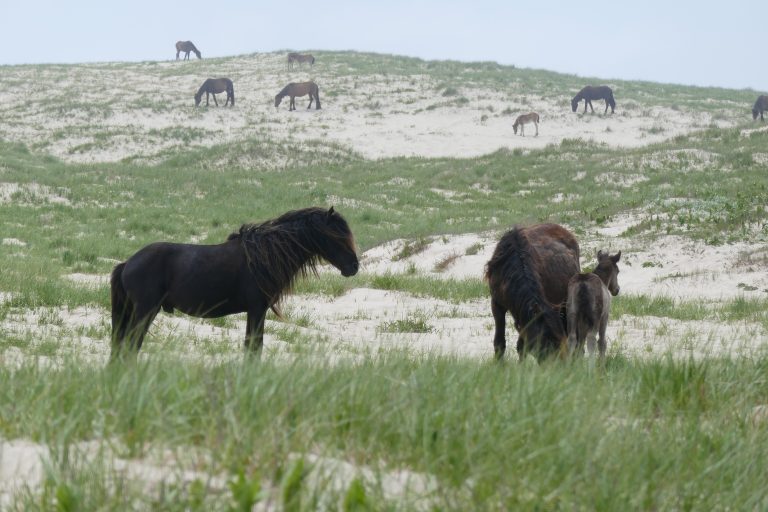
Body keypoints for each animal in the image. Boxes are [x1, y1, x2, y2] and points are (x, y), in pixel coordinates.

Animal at [110, 207, 358, 360]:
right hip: (145, 311)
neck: (263, 256)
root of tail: (128, 263)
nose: (354, 267)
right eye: (336, 237)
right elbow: (253, 348)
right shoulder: (257, 310)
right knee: (131, 345)